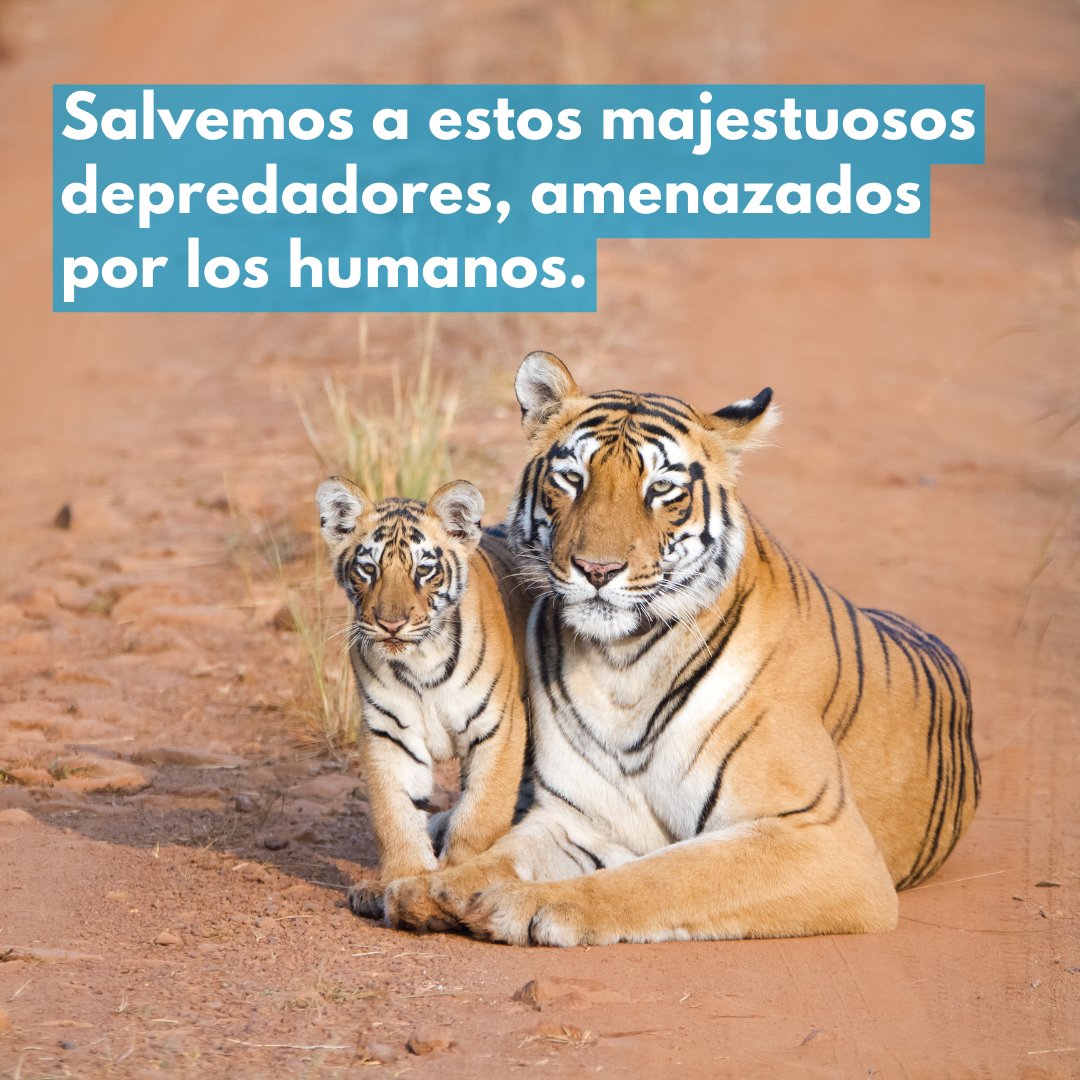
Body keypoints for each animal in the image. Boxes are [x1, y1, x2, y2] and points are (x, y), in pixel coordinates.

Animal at [315, 476, 529, 918]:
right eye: (368, 569)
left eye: (424, 570)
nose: (391, 624)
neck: (420, 663)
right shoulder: (389, 732)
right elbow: (394, 814)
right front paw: (401, 880)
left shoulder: (500, 727)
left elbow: (480, 813)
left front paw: (454, 879)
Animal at [383, 350, 979, 946]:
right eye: (572, 479)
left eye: (662, 491)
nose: (597, 570)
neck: (622, 664)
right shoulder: (579, 820)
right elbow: (502, 854)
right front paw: (428, 889)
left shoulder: (822, 837)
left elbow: (665, 876)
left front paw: (522, 905)